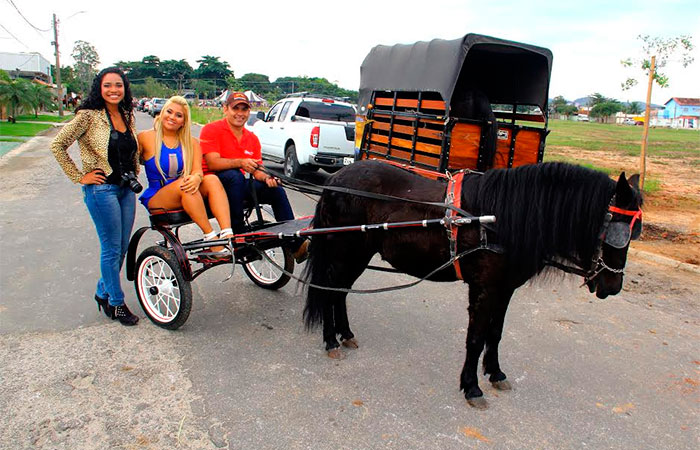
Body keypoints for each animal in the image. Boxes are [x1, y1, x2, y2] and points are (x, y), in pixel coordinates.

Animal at [304, 160, 644, 410]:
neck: (500, 219)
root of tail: (336, 179)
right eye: (615, 231)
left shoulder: (505, 288)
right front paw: (471, 387)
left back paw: (345, 334)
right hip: (346, 251)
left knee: (339, 291)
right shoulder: (484, 287)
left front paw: (495, 373)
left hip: (358, 253)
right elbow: (476, 338)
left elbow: (495, 333)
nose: (612, 285)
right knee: (328, 290)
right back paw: (331, 340)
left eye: (636, 232)